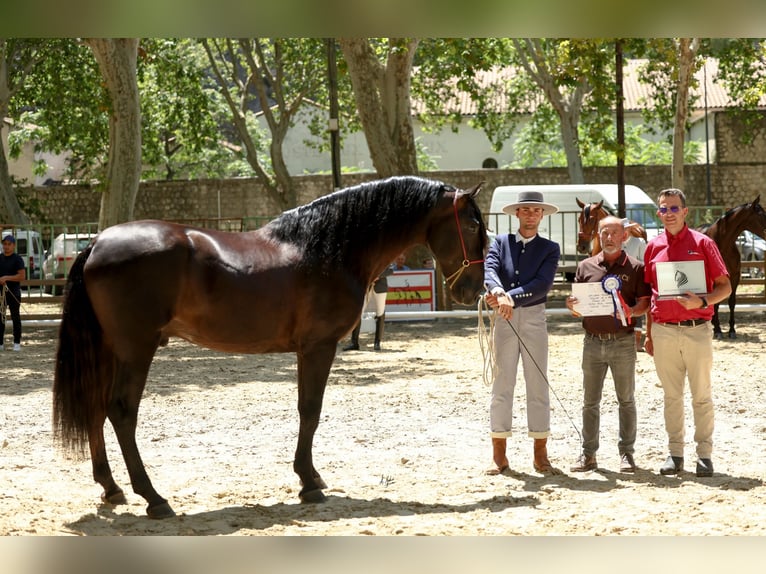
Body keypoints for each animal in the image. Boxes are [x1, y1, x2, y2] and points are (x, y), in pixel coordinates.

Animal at [54, 174, 488, 516]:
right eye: (471, 227)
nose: (473, 291)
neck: (330, 249)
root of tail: (96, 243)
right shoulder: (318, 347)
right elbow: (310, 411)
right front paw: (308, 483)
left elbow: (306, 411)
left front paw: (311, 477)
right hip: (136, 349)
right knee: (121, 412)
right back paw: (154, 498)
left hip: (109, 350)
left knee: (95, 408)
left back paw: (112, 489)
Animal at [704, 196, 766, 340]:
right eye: (761, 215)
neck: (722, 244)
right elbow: (716, 303)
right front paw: (718, 330)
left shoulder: (735, 276)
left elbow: (731, 302)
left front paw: (731, 330)